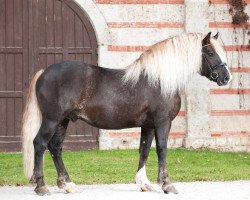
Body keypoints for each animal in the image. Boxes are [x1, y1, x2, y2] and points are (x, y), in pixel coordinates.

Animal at [22, 32, 232, 195]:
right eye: (210, 52)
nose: (226, 78)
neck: (160, 80)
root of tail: (44, 72)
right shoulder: (163, 122)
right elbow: (162, 149)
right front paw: (167, 184)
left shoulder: (148, 125)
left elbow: (144, 150)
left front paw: (144, 183)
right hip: (52, 120)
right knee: (39, 144)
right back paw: (41, 186)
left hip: (63, 120)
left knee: (55, 148)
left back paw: (67, 184)